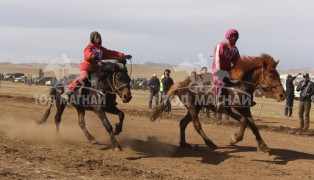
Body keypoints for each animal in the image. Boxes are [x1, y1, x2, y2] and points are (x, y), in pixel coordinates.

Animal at [151, 53, 286, 153]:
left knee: (183, 123)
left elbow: (253, 125)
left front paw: (263, 146)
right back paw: (210, 143)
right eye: (271, 76)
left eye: (278, 75)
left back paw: (184, 144)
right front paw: (234, 138)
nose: (283, 95)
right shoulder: (229, 109)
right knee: (196, 125)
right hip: (192, 107)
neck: (239, 85)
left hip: (196, 107)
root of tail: (182, 83)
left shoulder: (245, 108)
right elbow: (244, 121)